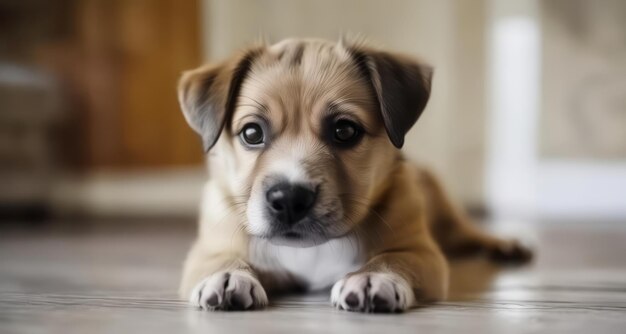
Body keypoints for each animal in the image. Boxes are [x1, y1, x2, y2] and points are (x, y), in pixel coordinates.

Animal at [177, 39, 532, 314]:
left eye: (345, 130)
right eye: (252, 133)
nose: (289, 199)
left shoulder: (423, 253)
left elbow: (393, 259)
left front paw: (375, 277)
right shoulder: (206, 250)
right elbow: (220, 259)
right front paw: (226, 276)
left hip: (444, 211)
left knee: (468, 232)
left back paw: (505, 245)